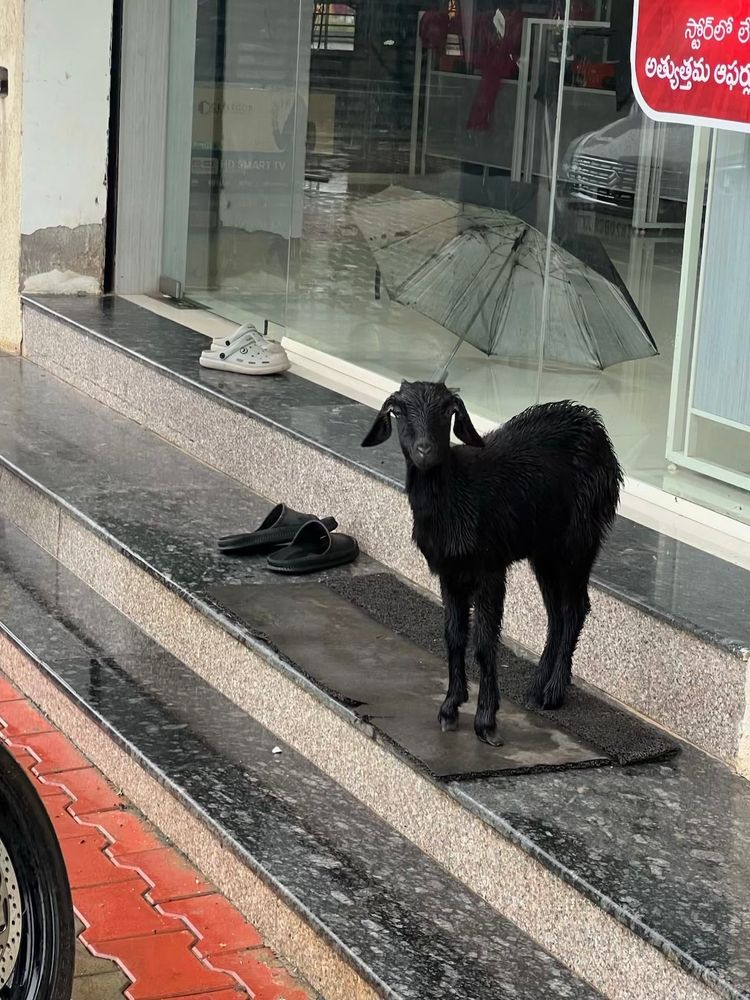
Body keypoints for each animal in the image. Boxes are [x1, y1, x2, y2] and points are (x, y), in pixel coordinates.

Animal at [362, 381, 622, 746]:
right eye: (398, 411)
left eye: (447, 411)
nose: (425, 450)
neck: (456, 494)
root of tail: (591, 422)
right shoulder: (449, 573)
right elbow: (454, 636)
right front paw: (450, 707)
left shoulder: (489, 569)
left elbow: (485, 644)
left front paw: (486, 721)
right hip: (544, 547)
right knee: (555, 612)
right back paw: (538, 685)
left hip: (580, 536)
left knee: (574, 607)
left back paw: (554, 691)